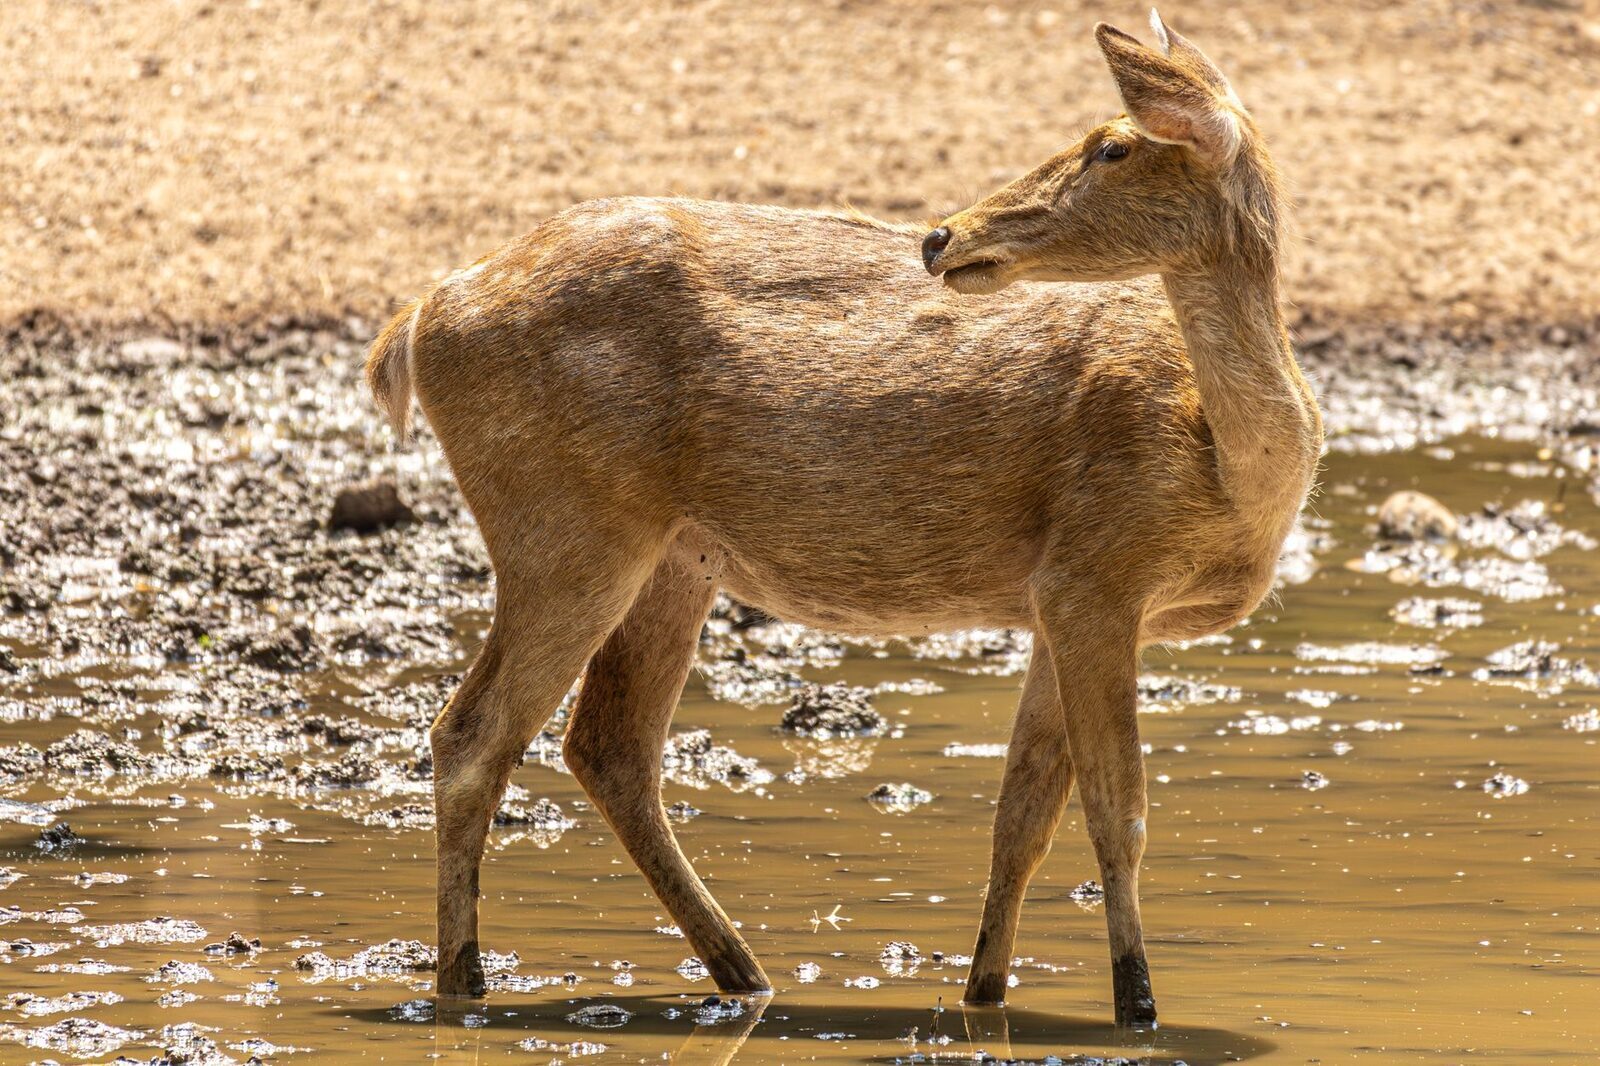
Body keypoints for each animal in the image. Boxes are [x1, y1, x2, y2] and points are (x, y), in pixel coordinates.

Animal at [364, 11, 1320, 1027]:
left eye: (1113, 146)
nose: (942, 235)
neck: (1225, 470)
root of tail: (416, 323)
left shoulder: (1055, 601)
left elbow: (1020, 819)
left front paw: (984, 994)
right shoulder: (1095, 571)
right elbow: (1119, 812)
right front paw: (1138, 1008)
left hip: (674, 556)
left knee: (607, 745)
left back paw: (744, 976)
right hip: (564, 527)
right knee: (474, 735)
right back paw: (463, 986)